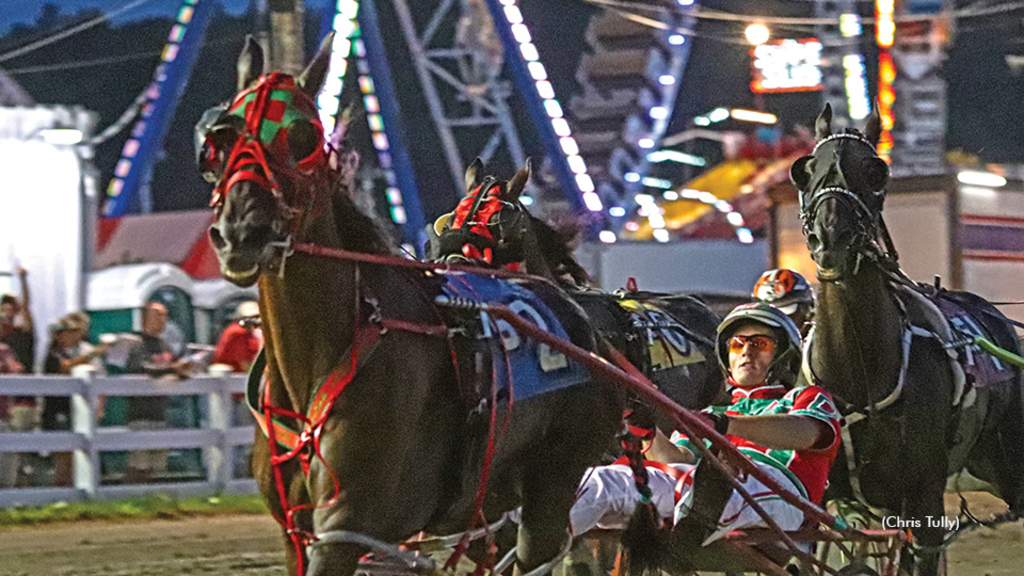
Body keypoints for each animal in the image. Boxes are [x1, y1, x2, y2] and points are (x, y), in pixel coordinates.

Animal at [198, 36, 614, 573]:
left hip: (553, 478)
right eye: (219, 141)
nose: (241, 233)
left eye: (304, 135)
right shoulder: (297, 535)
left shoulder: (346, 526)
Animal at [790, 103, 1024, 573]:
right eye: (805, 170)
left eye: (875, 170)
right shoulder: (822, 498)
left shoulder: (922, 499)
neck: (860, 371)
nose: (831, 235)